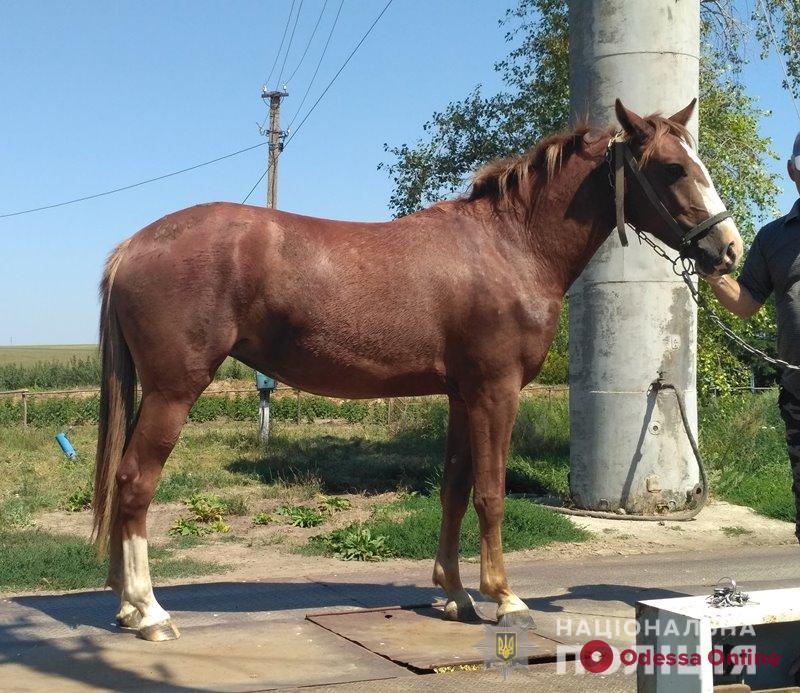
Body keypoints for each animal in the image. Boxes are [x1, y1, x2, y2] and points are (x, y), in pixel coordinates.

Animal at [92, 98, 736, 636]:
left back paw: (127, 605)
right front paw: (505, 598)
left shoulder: (462, 395)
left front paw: (455, 594)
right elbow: (491, 492)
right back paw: (149, 611)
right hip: (175, 391)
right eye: (672, 168)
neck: (510, 246)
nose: (726, 249)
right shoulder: (496, 391)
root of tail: (133, 246)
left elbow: (454, 488)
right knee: (136, 482)